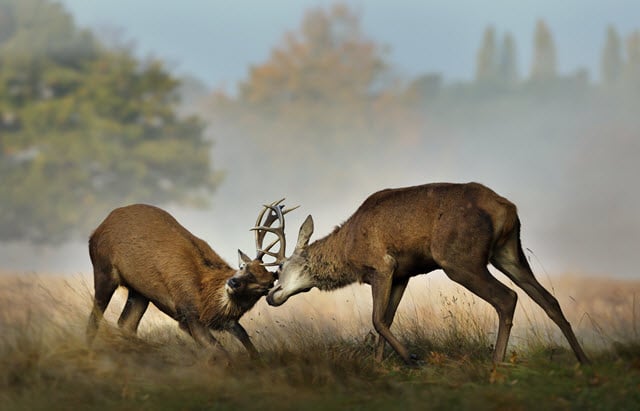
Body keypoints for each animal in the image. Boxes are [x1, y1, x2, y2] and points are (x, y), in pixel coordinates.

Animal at [85, 202, 296, 360]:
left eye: (264, 286)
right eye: (244, 267)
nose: (233, 283)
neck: (205, 296)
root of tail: (98, 228)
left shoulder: (226, 321)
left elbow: (248, 343)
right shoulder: (188, 313)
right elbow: (222, 353)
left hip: (140, 292)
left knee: (125, 324)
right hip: (103, 268)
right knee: (95, 318)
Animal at [264, 183, 592, 366]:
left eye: (278, 268)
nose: (270, 295)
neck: (349, 251)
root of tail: (507, 209)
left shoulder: (382, 265)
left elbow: (376, 319)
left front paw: (411, 358)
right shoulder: (403, 274)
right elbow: (386, 319)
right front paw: (380, 364)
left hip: (460, 259)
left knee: (507, 297)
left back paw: (496, 363)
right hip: (509, 252)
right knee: (549, 300)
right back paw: (583, 359)